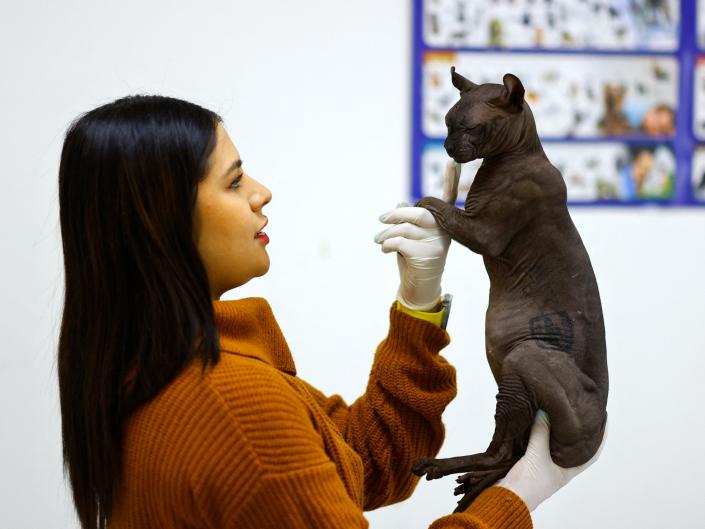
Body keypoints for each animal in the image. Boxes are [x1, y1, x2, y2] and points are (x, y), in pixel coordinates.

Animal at [412, 67, 604, 512]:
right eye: (446, 123)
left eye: (471, 128)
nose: (447, 147)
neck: (512, 161)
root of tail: (598, 431)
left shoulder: (484, 234)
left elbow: (440, 206)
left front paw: (420, 201)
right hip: (516, 386)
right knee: (509, 452)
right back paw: (473, 485)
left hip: (524, 359)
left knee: (504, 451)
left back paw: (449, 471)